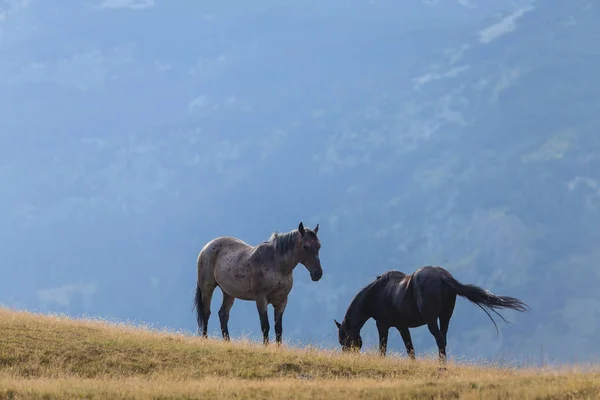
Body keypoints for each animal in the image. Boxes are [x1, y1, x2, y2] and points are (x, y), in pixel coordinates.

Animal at [336, 266, 528, 366]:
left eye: (344, 340)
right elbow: (410, 348)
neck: (376, 293)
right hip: (445, 317)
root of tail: (443, 276)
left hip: (431, 320)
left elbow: (386, 348)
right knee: (443, 340)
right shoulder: (401, 326)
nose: (347, 357)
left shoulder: (384, 325)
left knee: (440, 339)